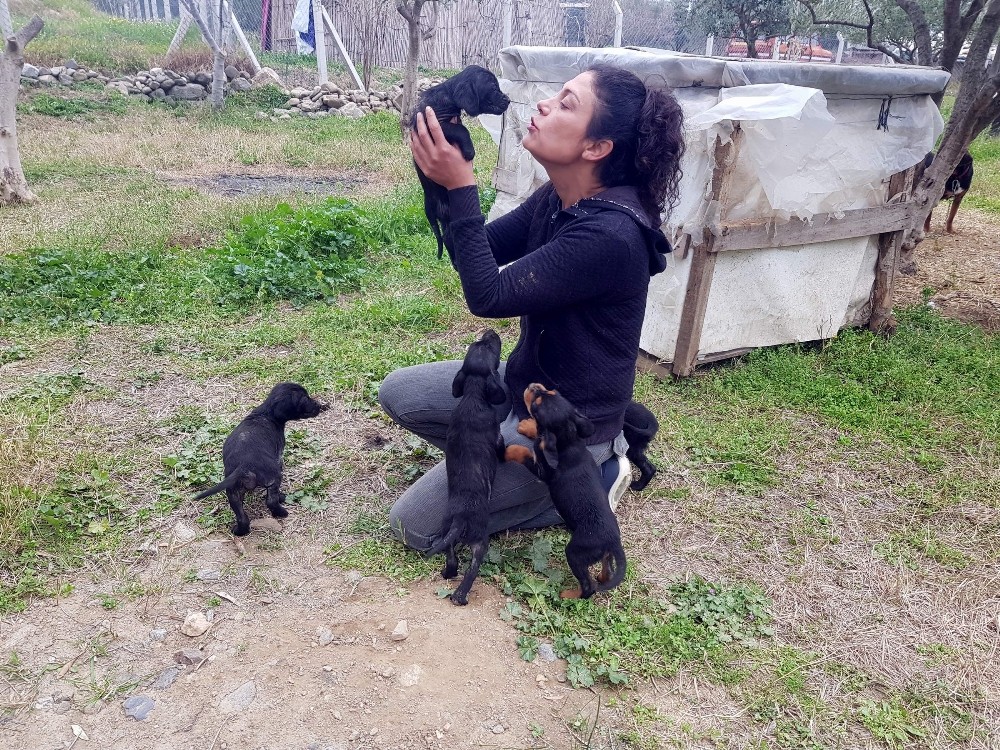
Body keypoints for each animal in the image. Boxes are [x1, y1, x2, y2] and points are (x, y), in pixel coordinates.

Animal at [196, 384, 332, 536]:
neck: (266, 413)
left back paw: (240, 531)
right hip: (274, 477)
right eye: (305, 399)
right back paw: (281, 511)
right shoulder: (279, 457)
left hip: (233, 493)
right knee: (271, 501)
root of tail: (244, 466)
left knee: (242, 517)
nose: (319, 405)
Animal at [410, 65, 512, 264]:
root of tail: (441, 211)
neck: (448, 96)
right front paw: (469, 151)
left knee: (448, 238)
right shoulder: (436, 125)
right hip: (431, 214)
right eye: (494, 88)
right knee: (441, 237)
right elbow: (461, 129)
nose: (509, 100)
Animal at [428, 328, 508, 604]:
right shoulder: (498, 439)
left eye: (479, 343)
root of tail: (461, 518)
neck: (473, 396)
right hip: (480, 541)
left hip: (446, 534)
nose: (490, 331)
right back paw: (460, 596)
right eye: (490, 346)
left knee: (451, 560)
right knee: (471, 570)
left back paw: (447, 575)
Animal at [508, 384, 624, 604]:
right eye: (551, 392)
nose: (533, 385)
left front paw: (509, 449)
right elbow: (538, 436)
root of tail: (612, 541)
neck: (570, 443)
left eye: (536, 407)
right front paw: (528, 427)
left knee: (588, 587)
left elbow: (528, 453)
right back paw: (601, 577)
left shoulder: (545, 472)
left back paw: (568, 595)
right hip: (603, 555)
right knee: (607, 570)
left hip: (575, 553)